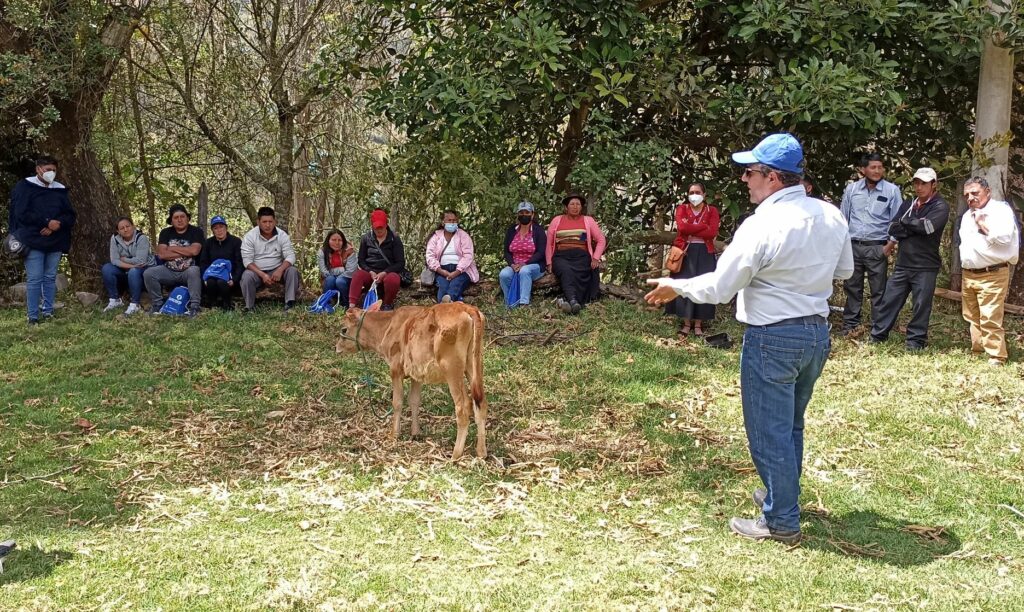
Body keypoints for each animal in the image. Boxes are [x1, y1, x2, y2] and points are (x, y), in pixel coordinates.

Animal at [337, 302, 489, 460]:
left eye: (344, 329)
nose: (337, 348)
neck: (387, 325)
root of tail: (466, 307)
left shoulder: (395, 369)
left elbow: (397, 402)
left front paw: (394, 434)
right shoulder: (417, 373)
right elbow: (414, 400)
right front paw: (415, 432)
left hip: (452, 369)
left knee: (463, 406)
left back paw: (456, 454)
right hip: (474, 364)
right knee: (481, 404)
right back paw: (481, 452)